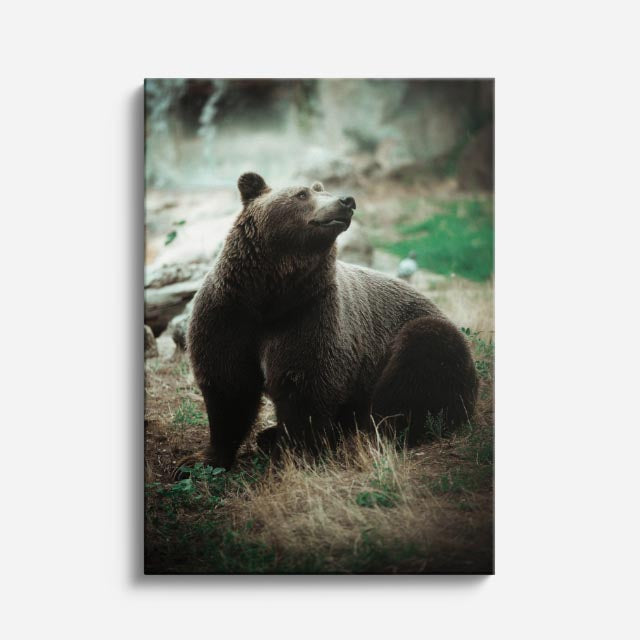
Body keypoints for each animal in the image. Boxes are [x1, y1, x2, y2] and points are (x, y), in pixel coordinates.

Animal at [186, 172, 478, 470]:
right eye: (302, 194)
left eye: (320, 190)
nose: (347, 201)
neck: (271, 296)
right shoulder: (230, 315)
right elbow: (228, 388)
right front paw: (206, 458)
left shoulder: (310, 315)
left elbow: (305, 387)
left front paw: (293, 456)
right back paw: (270, 435)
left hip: (420, 337)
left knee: (418, 368)